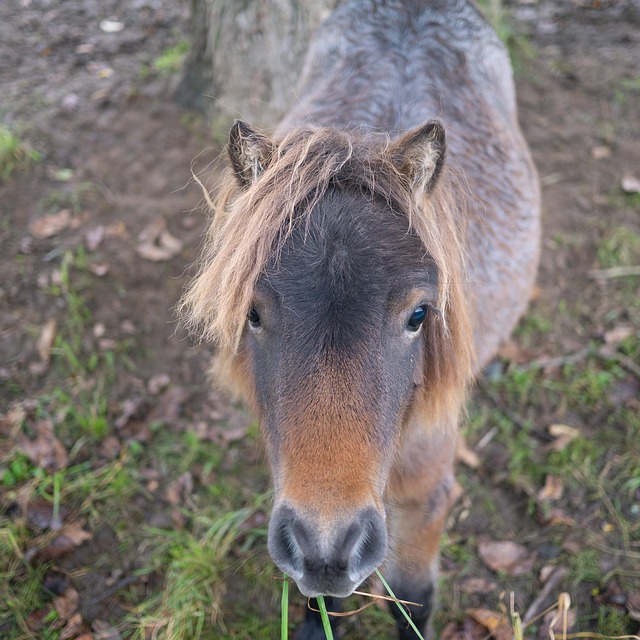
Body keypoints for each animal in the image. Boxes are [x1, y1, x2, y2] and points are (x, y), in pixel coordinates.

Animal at [180, 1, 540, 636]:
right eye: (252, 313)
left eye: (419, 314)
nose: (326, 547)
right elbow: (321, 603)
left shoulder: (426, 497)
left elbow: (413, 599)